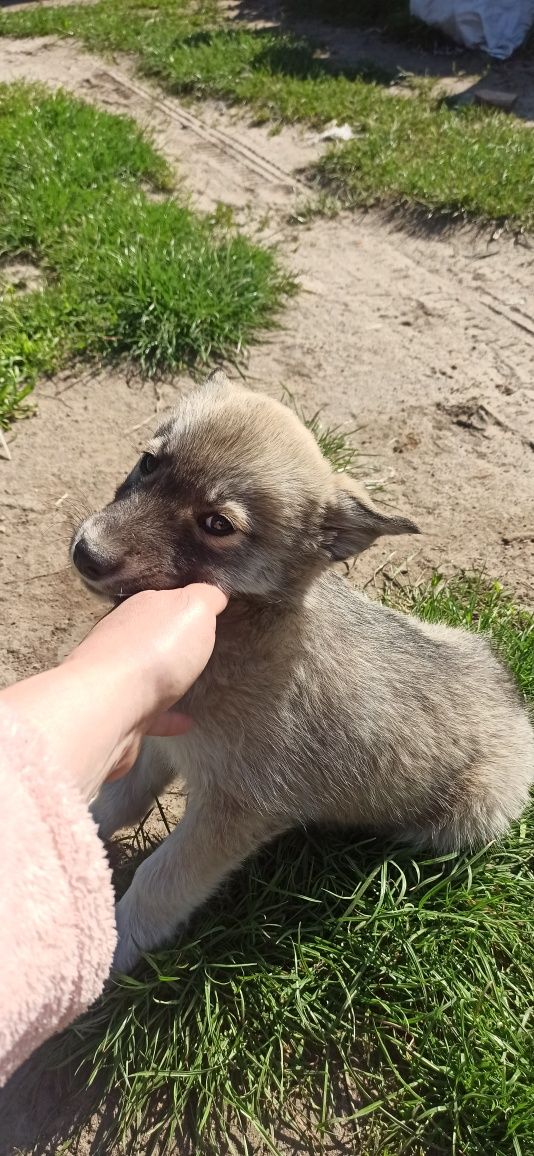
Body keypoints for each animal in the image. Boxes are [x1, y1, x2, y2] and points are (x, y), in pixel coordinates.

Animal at [73, 369, 534, 966]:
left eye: (217, 524)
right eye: (149, 462)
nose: (86, 553)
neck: (244, 629)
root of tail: (511, 691)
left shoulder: (233, 811)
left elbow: (159, 881)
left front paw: (111, 954)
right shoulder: (158, 744)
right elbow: (113, 803)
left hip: (470, 813)